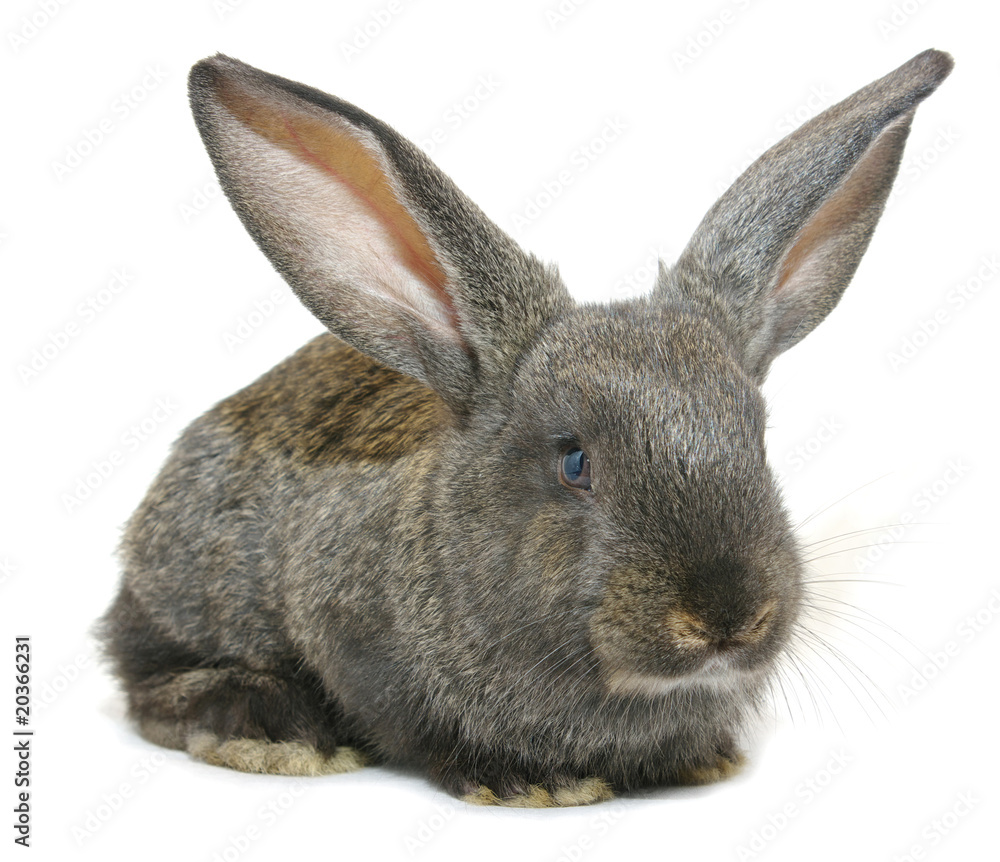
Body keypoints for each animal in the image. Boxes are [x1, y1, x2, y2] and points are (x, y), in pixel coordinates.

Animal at [99, 49, 953, 807]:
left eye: (760, 442)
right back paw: (266, 730)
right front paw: (534, 783)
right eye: (574, 462)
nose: (728, 617)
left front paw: (703, 759)